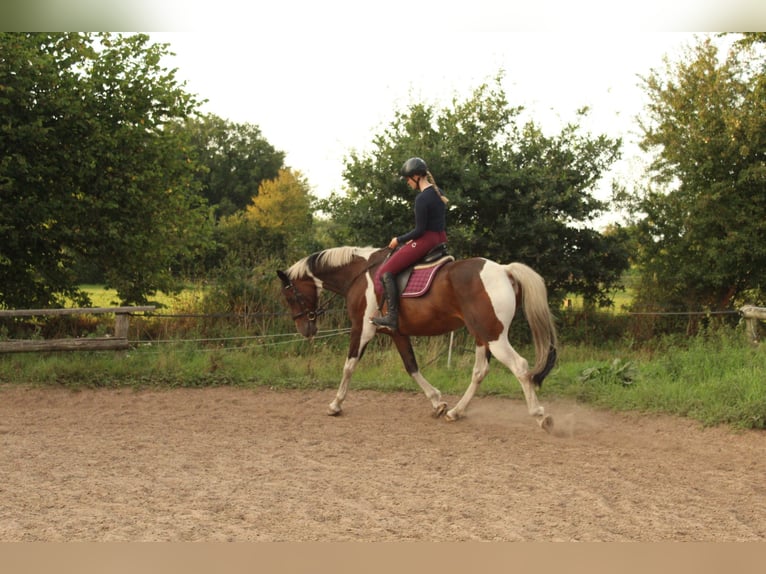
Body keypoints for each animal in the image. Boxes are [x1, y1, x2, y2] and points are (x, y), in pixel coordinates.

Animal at [276, 248, 560, 432]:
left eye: (290, 296)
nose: (305, 329)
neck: (359, 274)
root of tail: (504, 270)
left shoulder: (362, 329)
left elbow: (349, 366)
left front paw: (335, 404)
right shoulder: (397, 333)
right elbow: (411, 366)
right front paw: (437, 402)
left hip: (494, 336)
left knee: (520, 367)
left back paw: (540, 416)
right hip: (483, 336)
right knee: (480, 372)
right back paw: (456, 412)